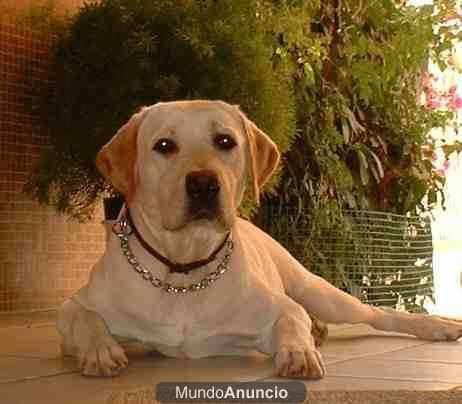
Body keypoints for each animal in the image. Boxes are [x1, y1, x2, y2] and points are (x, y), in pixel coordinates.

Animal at [56, 100, 462, 378]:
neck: (184, 270)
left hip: (317, 290)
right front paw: (100, 350)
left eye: (225, 141)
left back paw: (438, 325)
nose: (203, 184)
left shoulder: (281, 309)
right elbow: (84, 318)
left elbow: (291, 322)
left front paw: (299, 352)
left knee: (378, 314)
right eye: (164, 145)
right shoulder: (72, 308)